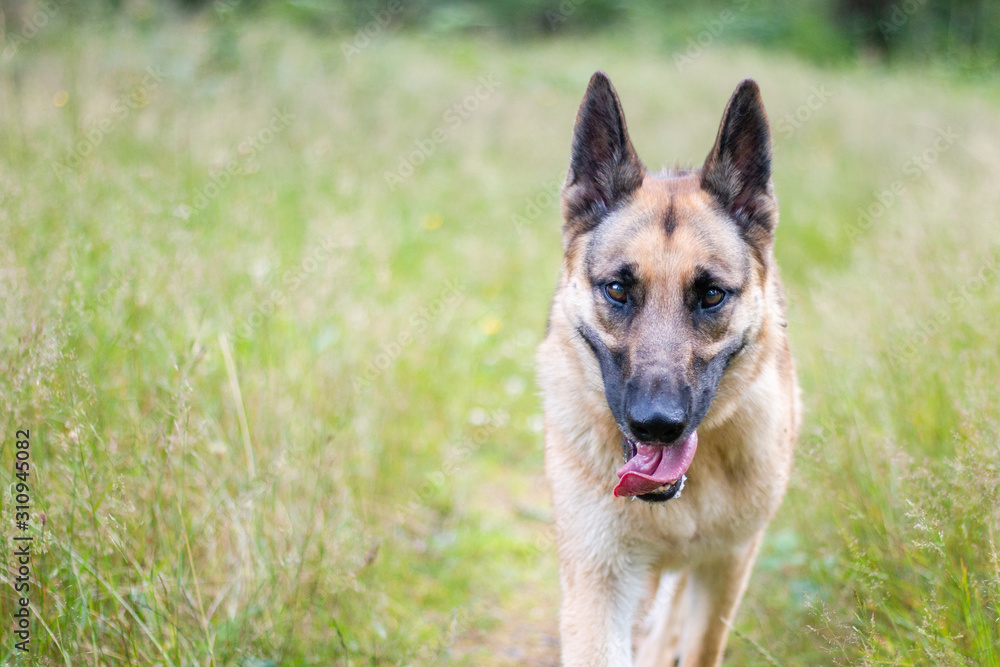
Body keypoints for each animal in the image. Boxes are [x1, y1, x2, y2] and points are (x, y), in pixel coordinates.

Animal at [536, 74, 800, 667]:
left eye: (710, 295)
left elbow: (699, 645)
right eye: (617, 288)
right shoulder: (599, 583)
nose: (657, 425)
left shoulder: (726, 566)